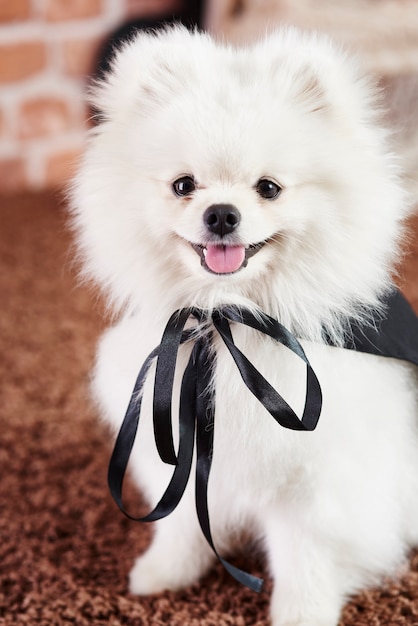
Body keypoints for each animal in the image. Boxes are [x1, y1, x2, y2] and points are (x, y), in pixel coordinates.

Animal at [71, 25, 418, 624]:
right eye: (184, 185)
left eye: (269, 188)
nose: (221, 214)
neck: (226, 319)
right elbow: (182, 523)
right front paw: (165, 573)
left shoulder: (317, 478)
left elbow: (306, 553)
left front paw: (303, 611)